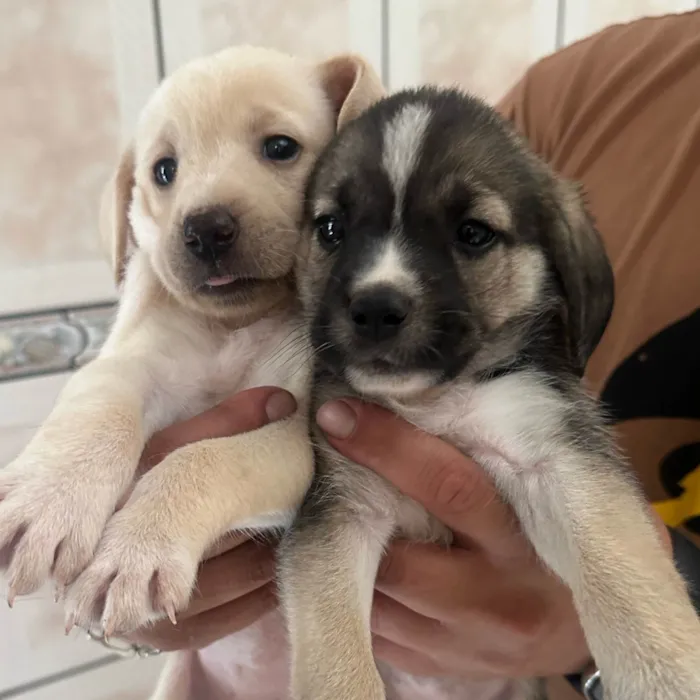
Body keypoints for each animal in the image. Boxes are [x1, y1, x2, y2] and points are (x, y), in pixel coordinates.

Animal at [0, 43, 382, 636]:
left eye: (280, 148)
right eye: (164, 171)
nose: (204, 230)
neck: (231, 328)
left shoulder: (293, 435)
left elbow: (204, 459)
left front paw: (138, 548)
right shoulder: (132, 363)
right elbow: (102, 408)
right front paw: (50, 498)